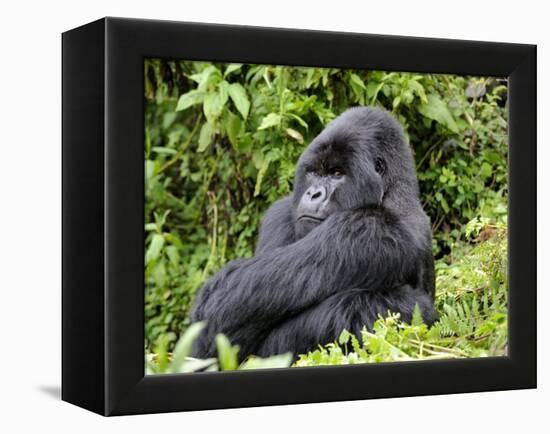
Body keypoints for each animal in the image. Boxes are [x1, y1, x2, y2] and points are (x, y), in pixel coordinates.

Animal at [192, 105, 438, 360]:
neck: (394, 195)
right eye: (315, 173)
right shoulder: (280, 213)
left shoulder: (367, 228)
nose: (314, 194)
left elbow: (225, 302)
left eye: (337, 173)